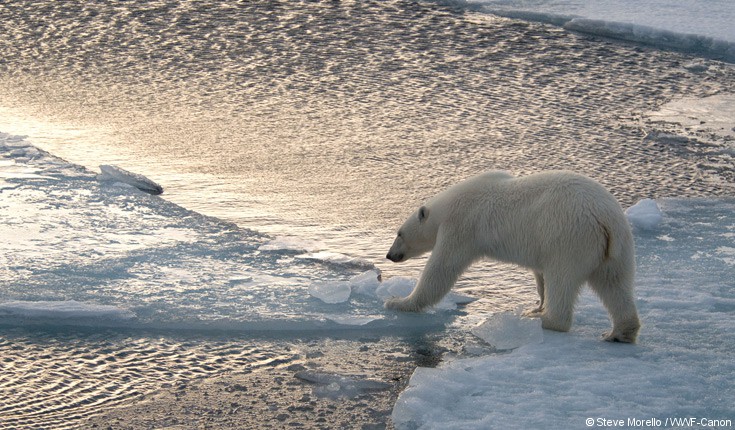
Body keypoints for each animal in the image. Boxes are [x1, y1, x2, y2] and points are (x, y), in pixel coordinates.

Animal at [388, 171, 640, 342]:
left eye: (399, 233)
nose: (390, 255)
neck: (447, 206)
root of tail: (604, 218)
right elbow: (540, 275)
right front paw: (537, 305)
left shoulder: (461, 226)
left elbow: (441, 269)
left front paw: (398, 302)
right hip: (616, 248)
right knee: (615, 284)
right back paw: (619, 333)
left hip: (569, 238)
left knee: (562, 279)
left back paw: (546, 320)